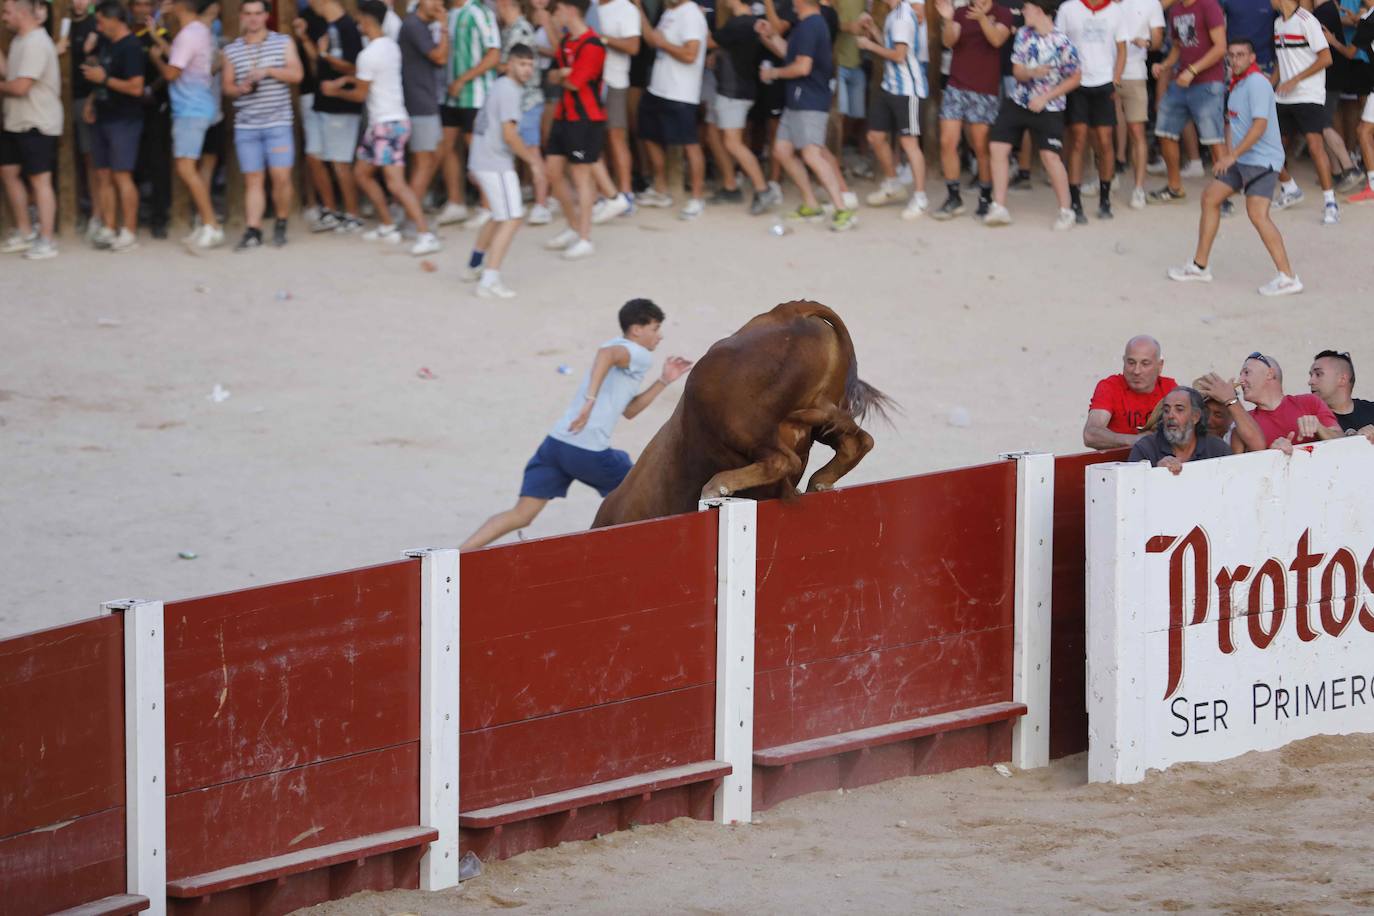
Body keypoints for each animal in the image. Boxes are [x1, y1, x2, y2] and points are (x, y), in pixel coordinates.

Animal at [590, 300, 890, 530]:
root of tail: (792, 310)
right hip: (824, 417)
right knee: (856, 442)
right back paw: (818, 483)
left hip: (739, 425)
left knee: (782, 460)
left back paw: (717, 486)